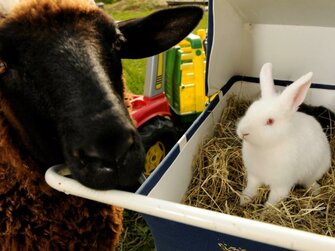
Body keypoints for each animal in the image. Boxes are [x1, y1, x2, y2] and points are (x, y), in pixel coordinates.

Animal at [238, 62, 332, 206]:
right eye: (250, 109)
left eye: (270, 121)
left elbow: (273, 200)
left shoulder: (281, 185)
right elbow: (250, 189)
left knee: (310, 182)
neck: (264, 148)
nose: (243, 132)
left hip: (316, 170)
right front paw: (243, 201)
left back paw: (316, 191)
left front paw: (266, 210)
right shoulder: (254, 176)